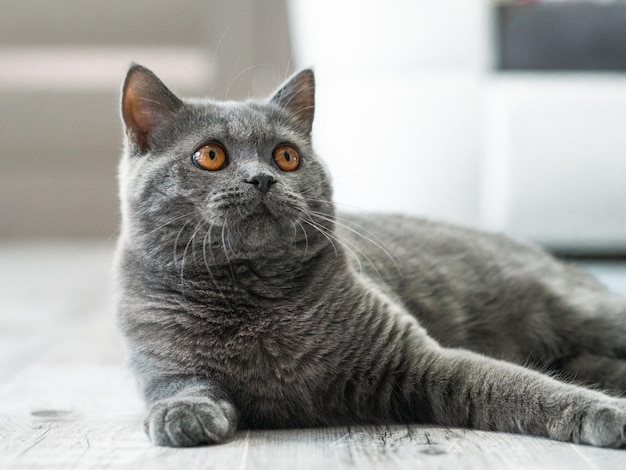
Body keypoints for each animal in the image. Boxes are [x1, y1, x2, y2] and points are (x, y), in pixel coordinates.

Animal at [113, 63, 624, 448]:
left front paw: (609, 414)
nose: (262, 179)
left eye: (286, 157)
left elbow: (523, 386)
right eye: (211, 156)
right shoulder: (157, 361)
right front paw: (183, 413)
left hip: (582, 311)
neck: (252, 297)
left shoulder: (422, 358)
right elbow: (175, 383)